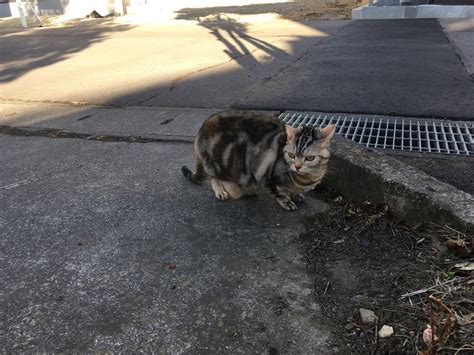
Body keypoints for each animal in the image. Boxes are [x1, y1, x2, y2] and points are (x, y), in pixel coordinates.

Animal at [181, 111, 336, 211]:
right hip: (217, 162)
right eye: (292, 155)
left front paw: (296, 195)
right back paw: (221, 190)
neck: (307, 178)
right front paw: (287, 202)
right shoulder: (266, 174)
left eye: (310, 158)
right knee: (214, 176)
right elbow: (279, 193)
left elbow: (293, 191)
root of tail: (202, 127)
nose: (297, 167)